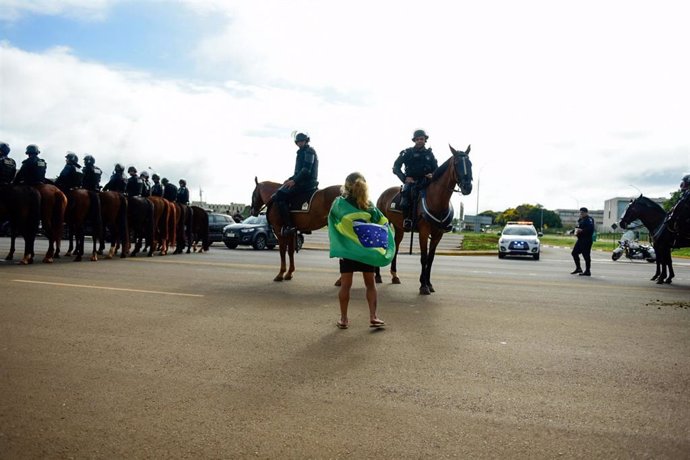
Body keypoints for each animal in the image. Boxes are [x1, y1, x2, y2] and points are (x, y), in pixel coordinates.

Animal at [374, 144, 470, 294]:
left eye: (470, 164)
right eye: (456, 163)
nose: (467, 187)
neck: (436, 200)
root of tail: (383, 195)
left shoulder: (438, 234)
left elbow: (430, 259)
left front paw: (428, 283)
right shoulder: (424, 232)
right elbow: (423, 258)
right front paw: (423, 285)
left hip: (400, 228)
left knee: (396, 247)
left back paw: (395, 276)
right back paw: (377, 276)